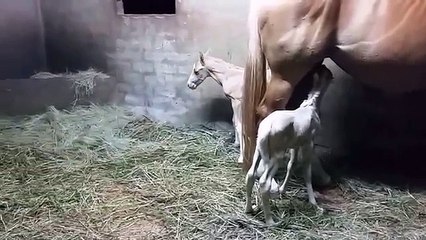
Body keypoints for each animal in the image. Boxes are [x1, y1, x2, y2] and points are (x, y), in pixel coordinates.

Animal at [246, 64, 332, 225]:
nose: (323, 65)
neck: (310, 105)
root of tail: (266, 130)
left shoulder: (295, 144)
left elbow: (291, 165)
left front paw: (282, 190)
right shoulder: (309, 143)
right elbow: (306, 171)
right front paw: (315, 204)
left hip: (259, 151)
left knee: (250, 174)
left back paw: (250, 209)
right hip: (275, 155)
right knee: (264, 182)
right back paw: (271, 221)